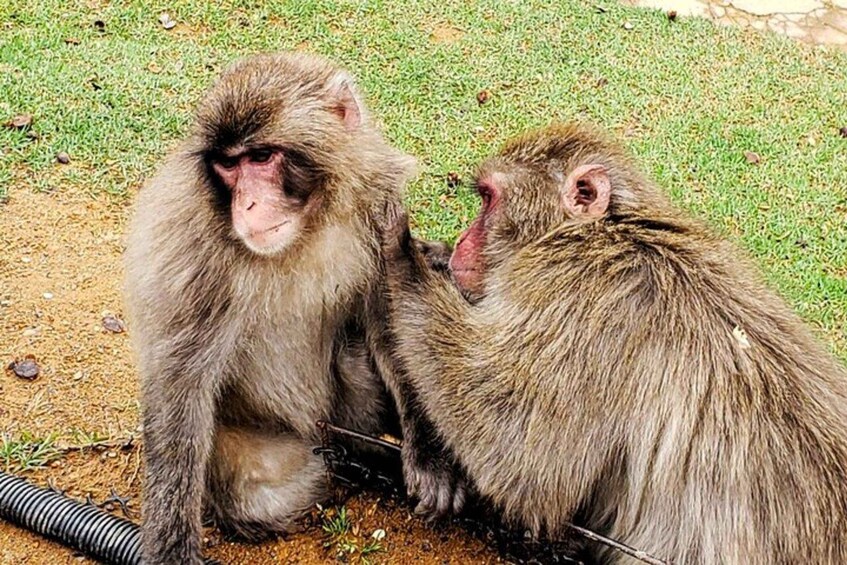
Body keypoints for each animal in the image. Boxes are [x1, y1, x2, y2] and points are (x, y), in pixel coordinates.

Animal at [124, 52, 462, 565]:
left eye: (262, 157)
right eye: (229, 165)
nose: (247, 203)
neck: (309, 226)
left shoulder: (380, 208)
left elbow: (390, 319)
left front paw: (430, 454)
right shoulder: (196, 247)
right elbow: (179, 380)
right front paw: (171, 547)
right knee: (258, 493)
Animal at [380, 122, 847, 564]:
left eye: (489, 200)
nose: (462, 241)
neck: (606, 230)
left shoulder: (578, 299)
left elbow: (519, 460)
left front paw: (404, 253)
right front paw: (431, 254)